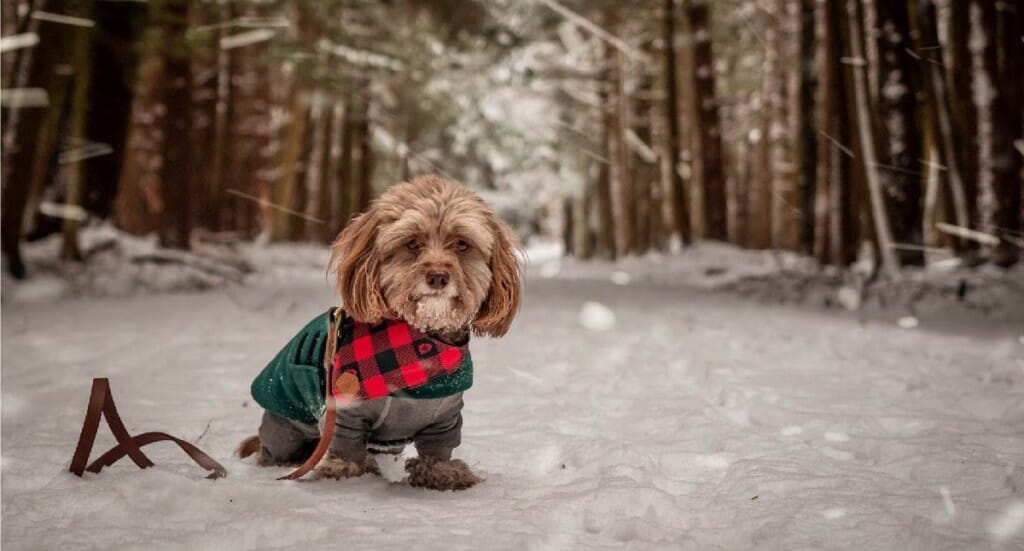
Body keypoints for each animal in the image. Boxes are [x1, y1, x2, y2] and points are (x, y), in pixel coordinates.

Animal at [237, 174, 520, 487]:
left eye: (461, 244)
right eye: (412, 244)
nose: (437, 276)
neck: (418, 346)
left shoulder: (445, 417)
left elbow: (438, 448)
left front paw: (442, 473)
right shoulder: (345, 410)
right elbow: (345, 445)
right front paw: (340, 470)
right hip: (284, 430)